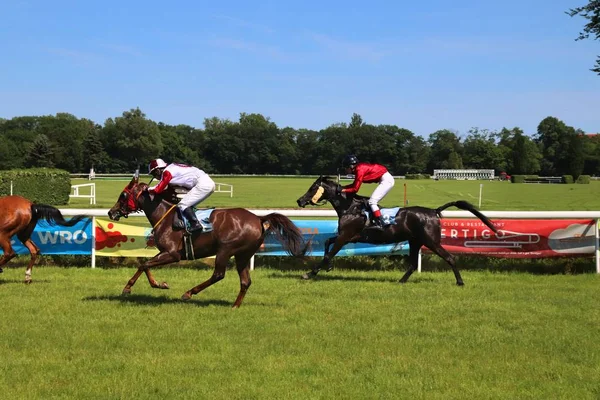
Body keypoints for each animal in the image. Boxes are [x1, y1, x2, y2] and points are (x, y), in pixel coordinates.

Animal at [107, 177, 310, 308]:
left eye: (123, 195)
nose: (111, 212)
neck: (164, 216)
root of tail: (259, 219)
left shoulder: (172, 253)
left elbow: (144, 264)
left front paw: (129, 288)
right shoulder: (165, 252)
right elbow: (145, 263)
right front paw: (158, 284)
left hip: (226, 250)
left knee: (218, 274)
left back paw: (189, 293)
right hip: (243, 255)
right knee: (245, 281)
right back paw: (235, 306)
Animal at [294, 175, 496, 284]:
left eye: (312, 188)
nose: (299, 200)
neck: (350, 207)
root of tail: (433, 211)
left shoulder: (345, 236)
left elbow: (329, 252)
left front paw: (309, 273)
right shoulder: (349, 236)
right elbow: (327, 243)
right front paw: (328, 267)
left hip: (430, 241)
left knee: (450, 257)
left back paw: (460, 282)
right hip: (415, 241)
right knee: (413, 264)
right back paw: (401, 281)